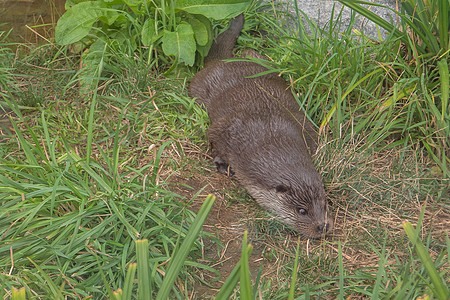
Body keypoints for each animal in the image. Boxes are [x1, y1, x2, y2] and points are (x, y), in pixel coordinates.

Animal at [188, 14, 332, 239]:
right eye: (301, 211)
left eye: (325, 204)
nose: (322, 226)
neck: (269, 136)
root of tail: (223, 61)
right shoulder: (227, 129)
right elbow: (212, 137)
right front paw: (222, 164)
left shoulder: (305, 127)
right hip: (198, 87)